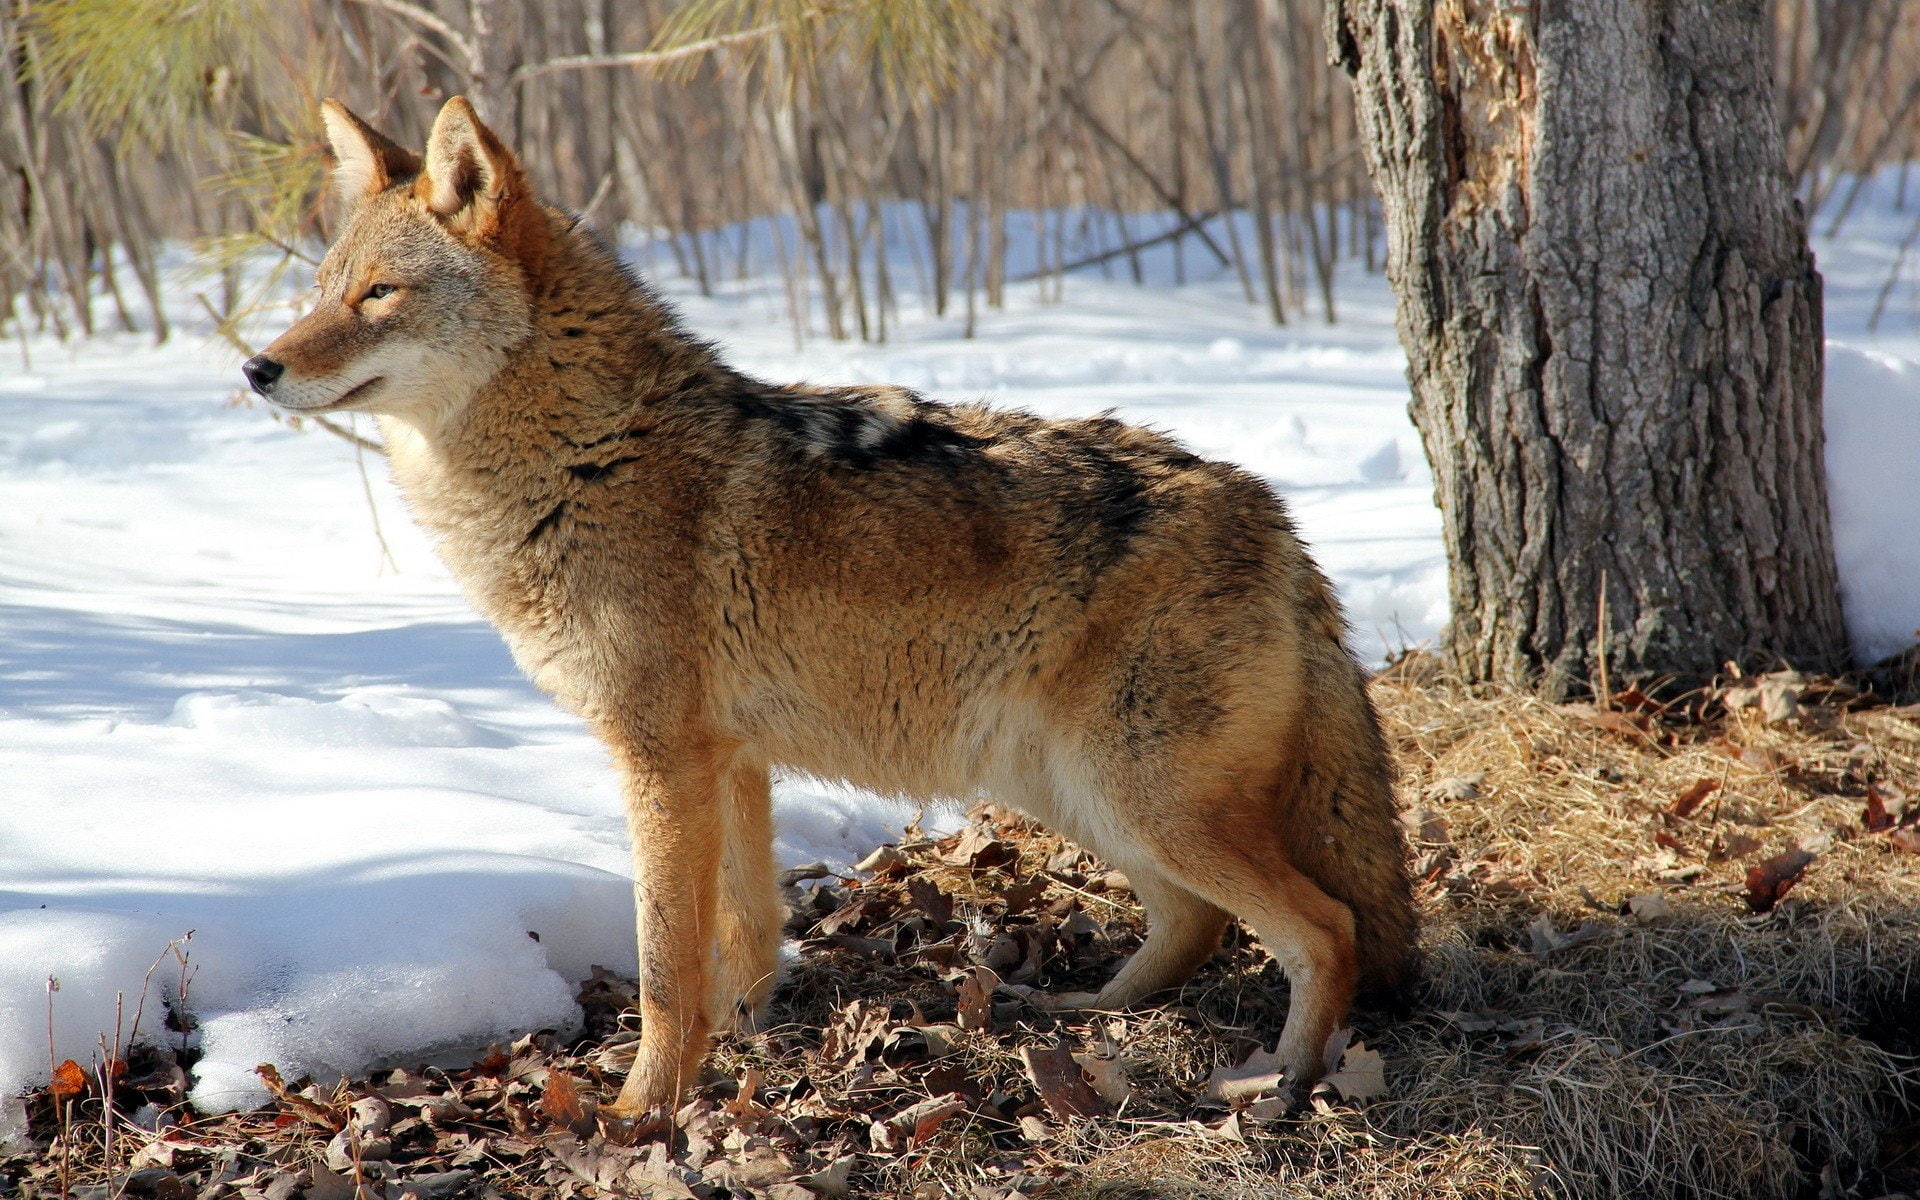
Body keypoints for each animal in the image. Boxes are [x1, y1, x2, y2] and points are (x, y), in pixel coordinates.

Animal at [243, 96, 1417, 1121]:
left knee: (1325, 928)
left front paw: (637, 1113)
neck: (587, 457)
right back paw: (1089, 1013)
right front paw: (739, 1048)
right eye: (321, 291)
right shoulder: (731, 763)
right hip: (1078, 790)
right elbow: (743, 938)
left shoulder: (661, 762)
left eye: (378, 296)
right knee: (1197, 921)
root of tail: (1277, 519)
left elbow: (665, 967)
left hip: (1135, 795)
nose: (255, 368)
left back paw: (1284, 1084)